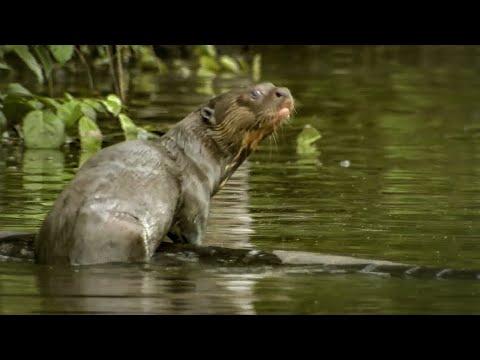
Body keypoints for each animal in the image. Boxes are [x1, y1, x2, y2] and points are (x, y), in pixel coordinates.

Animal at [34, 83, 292, 266]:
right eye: (255, 92)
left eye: (272, 85)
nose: (284, 92)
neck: (195, 154)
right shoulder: (195, 195)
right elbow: (192, 233)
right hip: (124, 233)